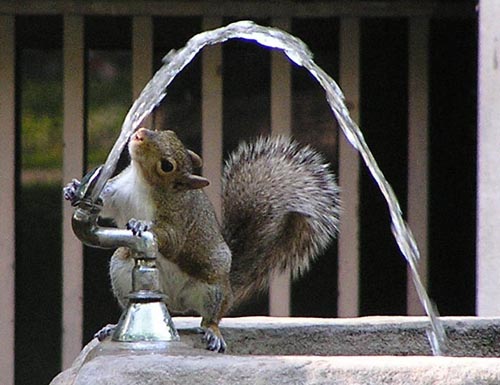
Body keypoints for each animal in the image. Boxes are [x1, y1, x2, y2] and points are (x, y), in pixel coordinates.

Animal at [63, 127, 340, 352]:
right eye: (167, 131)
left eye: (167, 165)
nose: (140, 133)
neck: (141, 181)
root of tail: (175, 301)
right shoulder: (118, 193)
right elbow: (104, 202)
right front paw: (73, 188)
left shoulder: (179, 219)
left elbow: (171, 238)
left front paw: (142, 224)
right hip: (121, 266)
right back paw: (113, 327)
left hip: (212, 287)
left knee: (211, 317)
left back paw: (212, 332)